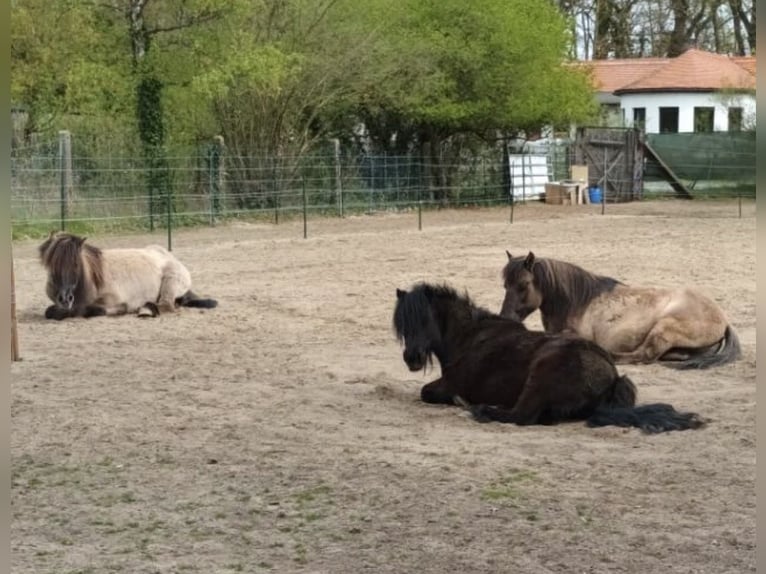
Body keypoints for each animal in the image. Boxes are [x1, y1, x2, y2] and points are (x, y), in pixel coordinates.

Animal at [38, 231, 218, 320]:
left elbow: (95, 310)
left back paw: (146, 310)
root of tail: (168, 256)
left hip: (171, 281)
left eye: (76, 264)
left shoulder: (114, 303)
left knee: (166, 305)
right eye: (51, 265)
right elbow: (50, 311)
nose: (65, 298)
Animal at [393, 282, 706, 433]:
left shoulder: (449, 384)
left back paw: (481, 408)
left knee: (519, 417)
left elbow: (426, 392)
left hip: (539, 378)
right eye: (404, 324)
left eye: (424, 319)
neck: (468, 337)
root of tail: (612, 375)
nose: (411, 358)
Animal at [499, 251, 740, 369]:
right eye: (505, 285)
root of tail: (723, 319)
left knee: (643, 355)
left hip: (664, 328)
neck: (576, 302)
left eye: (523, 285)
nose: (505, 318)